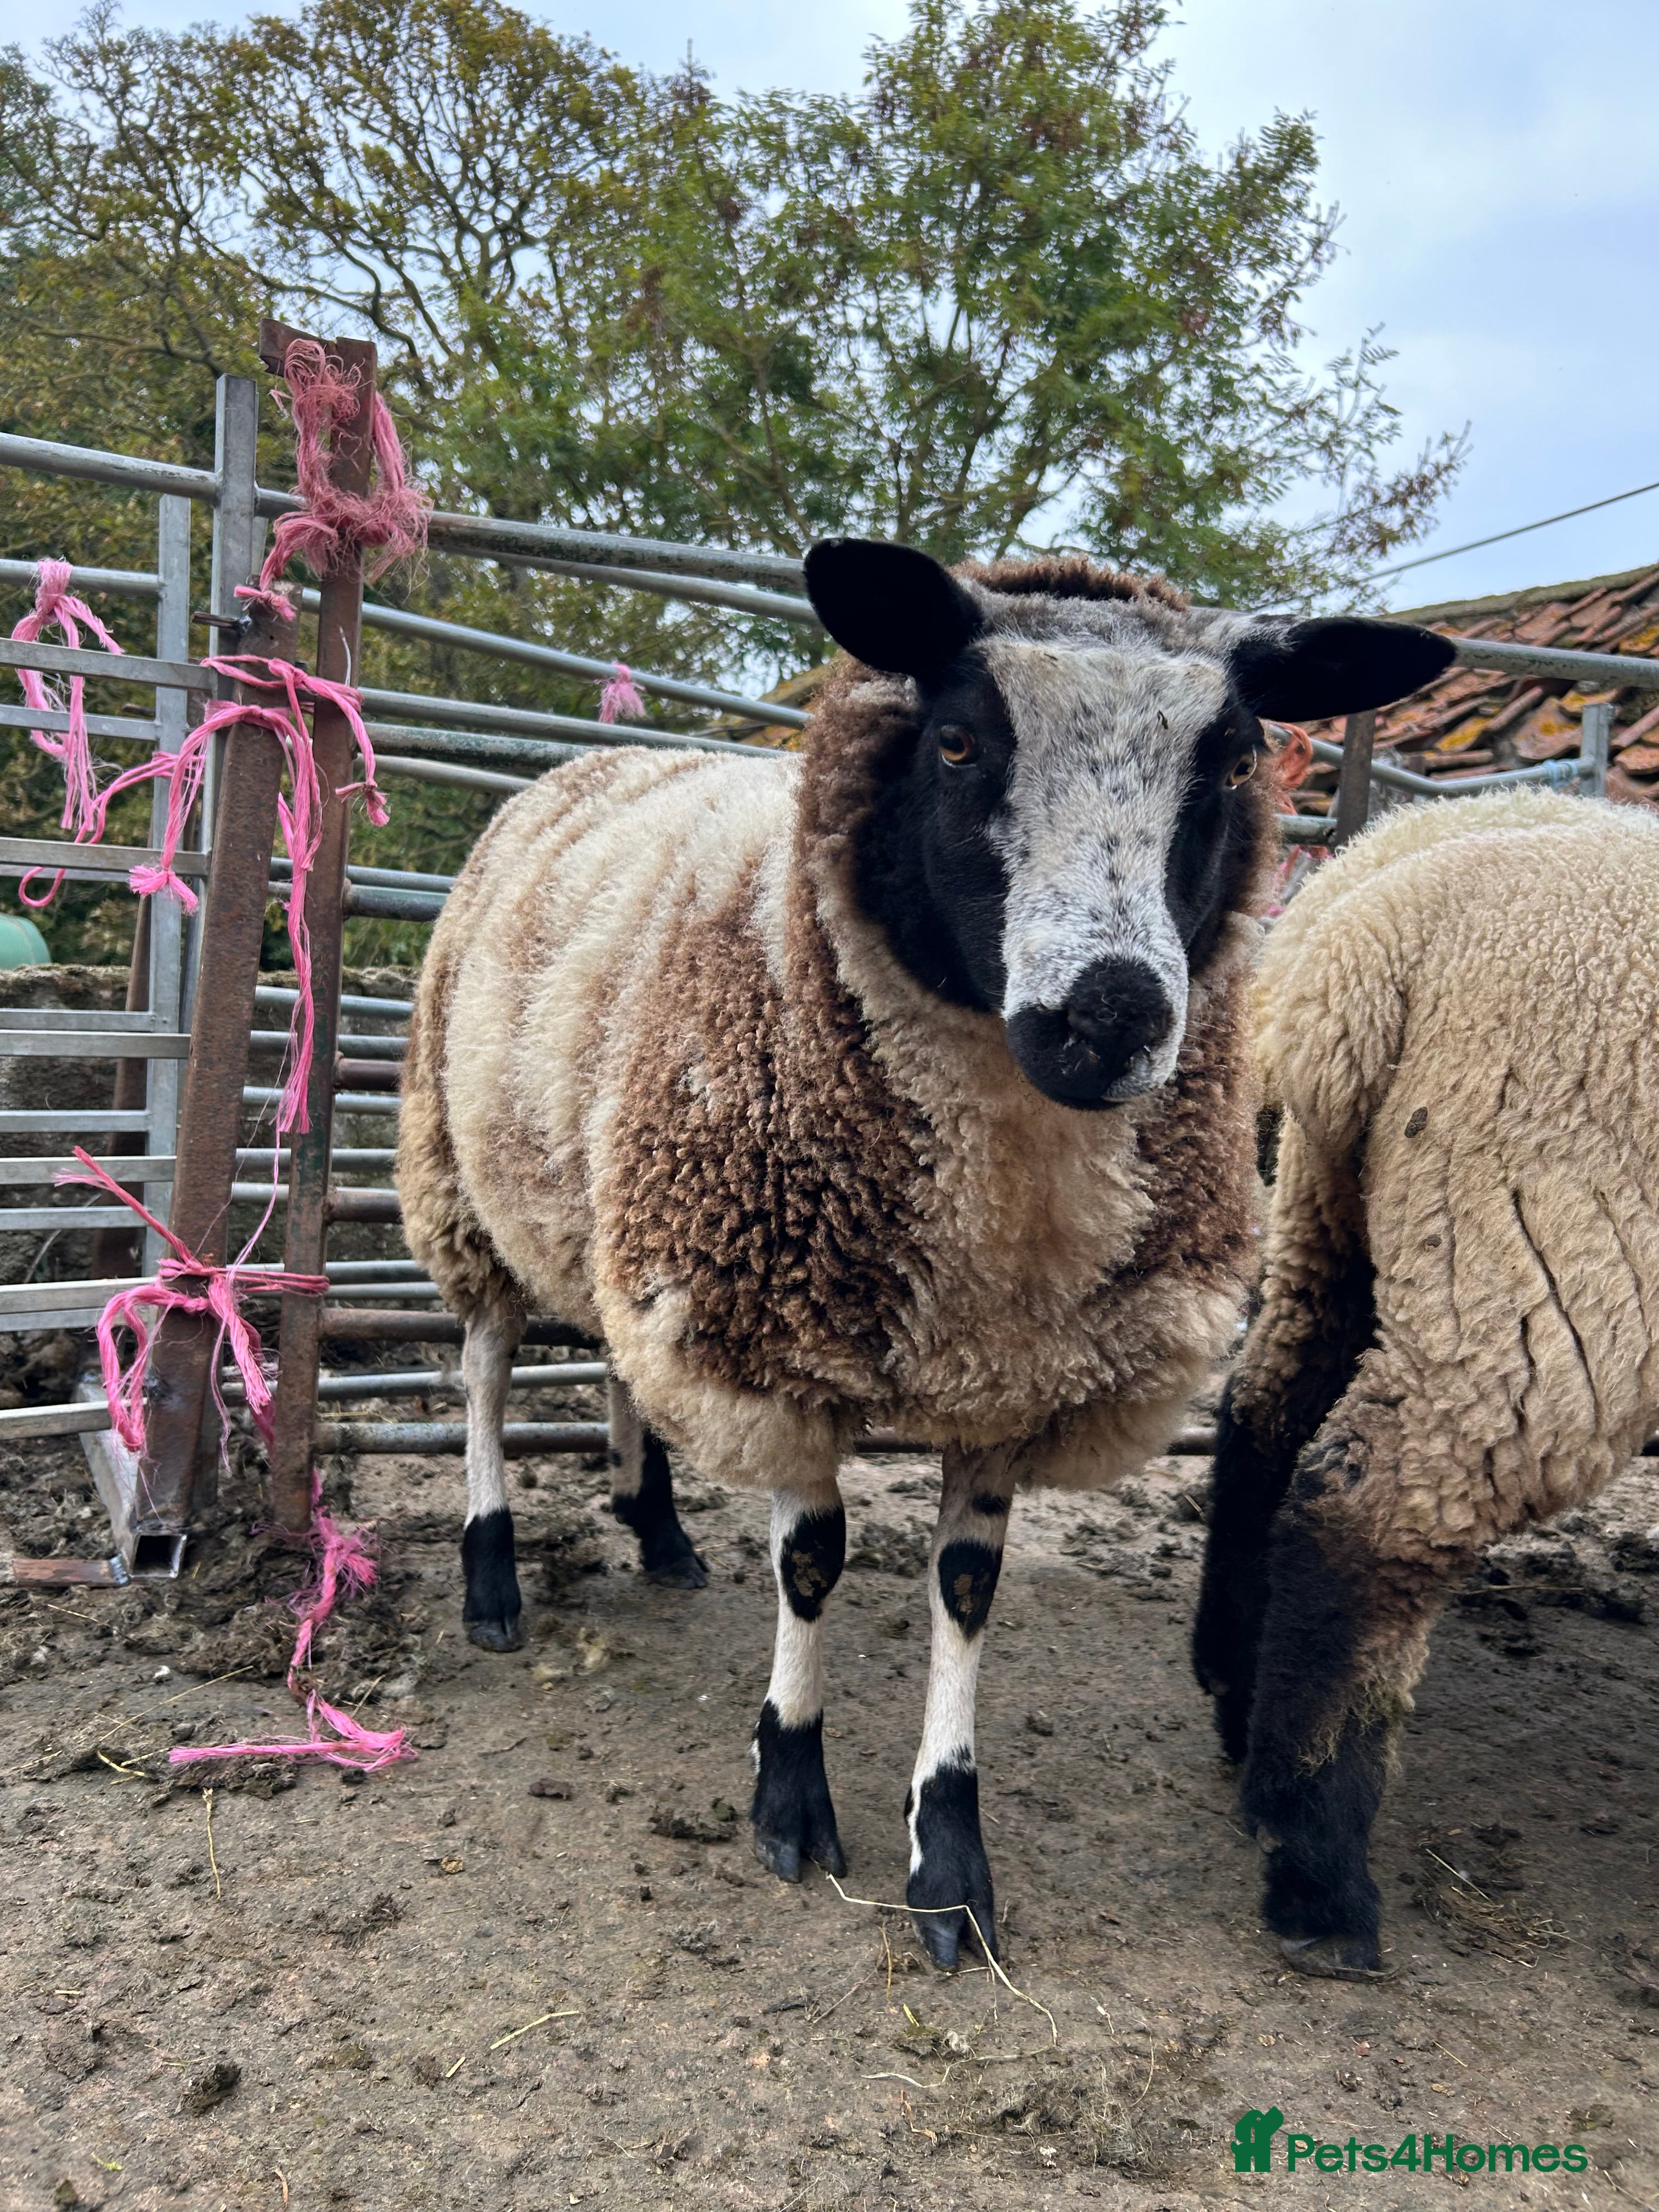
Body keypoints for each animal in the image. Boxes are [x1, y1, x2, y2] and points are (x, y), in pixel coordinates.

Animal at [397, 538, 1452, 1964]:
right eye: (957, 740)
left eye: (1234, 761)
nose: (1109, 1016)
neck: (998, 1229)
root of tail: (595, 763)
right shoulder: (779, 1341)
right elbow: (812, 1563)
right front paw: (789, 1792)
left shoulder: (1015, 1378)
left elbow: (965, 1587)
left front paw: (948, 1857)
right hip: (465, 1184)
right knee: (487, 1373)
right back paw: (493, 1577)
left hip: (628, 1205)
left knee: (623, 1361)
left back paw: (657, 1530)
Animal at [1192, 786, 1659, 1978]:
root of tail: (1367, 952)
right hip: (1548, 1266)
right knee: (1367, 1517)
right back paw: (1316, 1869)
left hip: (1335, 1217)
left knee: (1265, 1417)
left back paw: (1235, 1700)